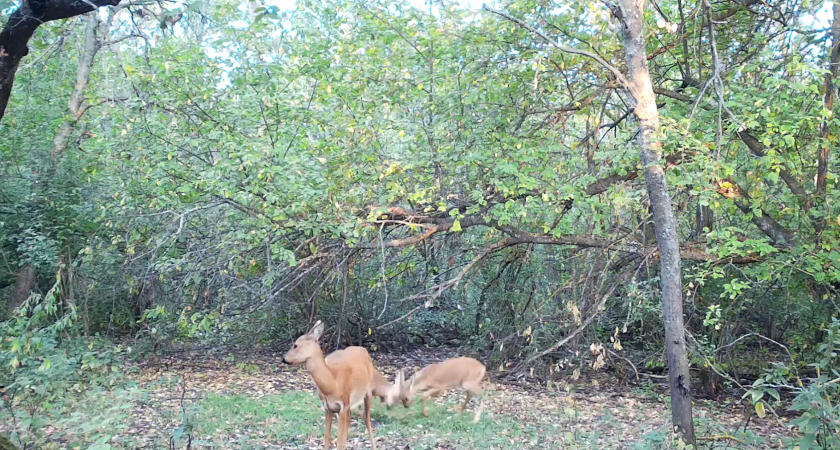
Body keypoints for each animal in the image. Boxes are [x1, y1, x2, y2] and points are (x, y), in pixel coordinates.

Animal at [282, 320, 400, 450]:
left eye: (295, 345)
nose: (284, 359)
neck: (333, 384)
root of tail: (362, 349)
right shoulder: (328, 407)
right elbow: (327, 437)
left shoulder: (343, 405)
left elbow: (339, 440)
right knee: (350, 422)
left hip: (368, 391)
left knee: (366, 420)